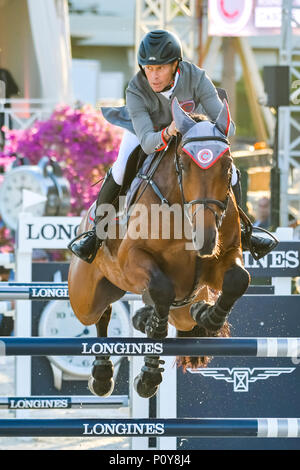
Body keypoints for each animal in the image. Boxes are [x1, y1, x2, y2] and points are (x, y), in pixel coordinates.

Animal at [68, 97, 251, 398]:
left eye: (228, 166)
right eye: (183, 165)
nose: (205, 239)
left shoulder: (224, 255)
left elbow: (238, 279)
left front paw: (210, 317)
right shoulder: (132, 259)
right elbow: (161, 293)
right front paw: (149, 368)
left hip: (182, 306)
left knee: (183, 315)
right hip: (84, 298)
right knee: (101, 314)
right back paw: (103, 374)